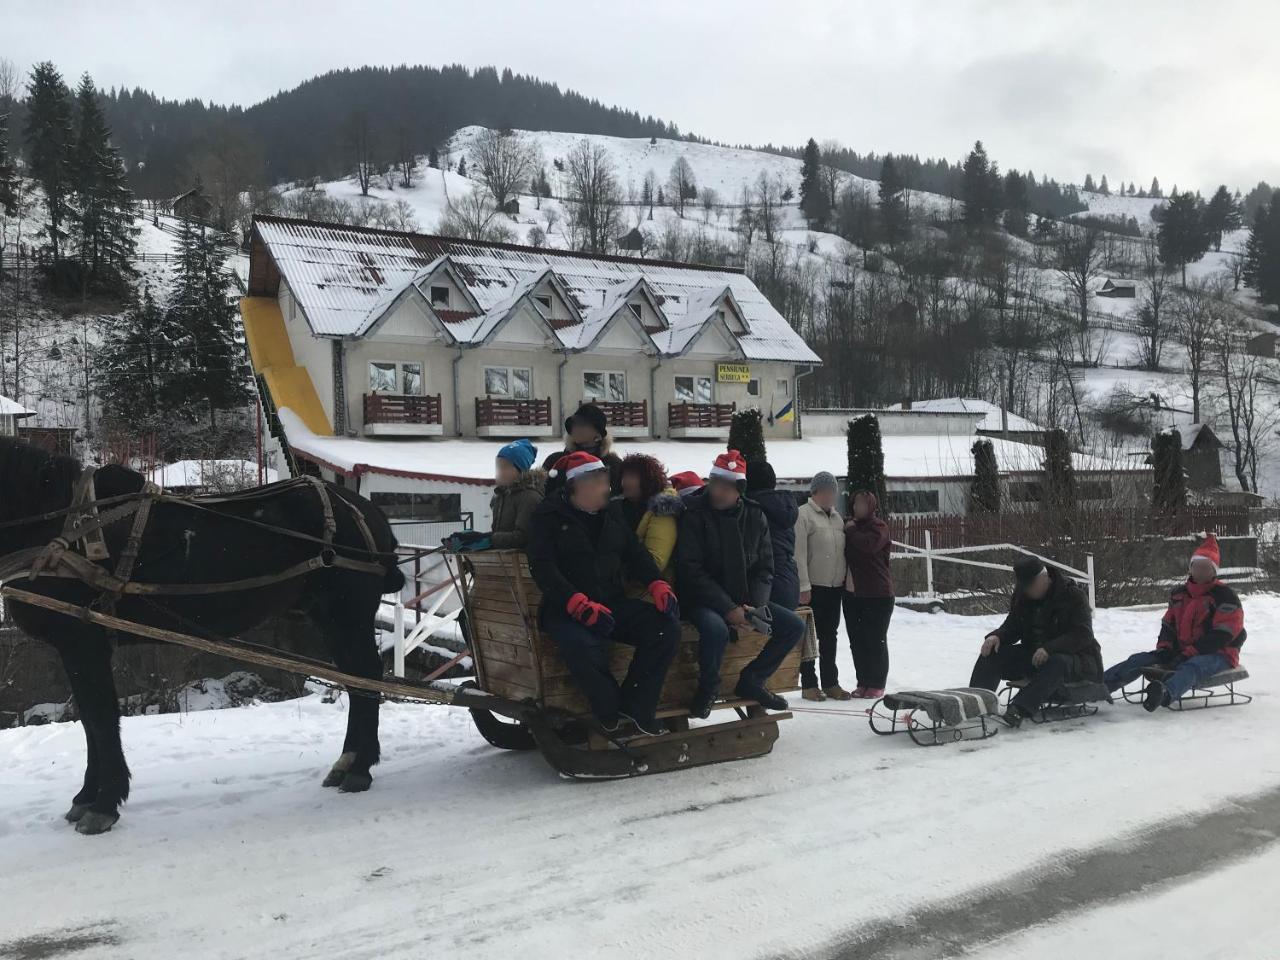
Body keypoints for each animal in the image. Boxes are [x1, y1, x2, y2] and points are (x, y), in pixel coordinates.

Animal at [0, 437, 404, 834]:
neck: (58, 524)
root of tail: (364, 509)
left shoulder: (84, 640)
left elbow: (100, 720)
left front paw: (103, 803)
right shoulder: (75, 647)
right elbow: (89, 719)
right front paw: (87, 797)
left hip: (348, 616)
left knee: (366, 678)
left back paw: (360, 768)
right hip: (330, 619)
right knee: (357, 681)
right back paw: (348, 762)